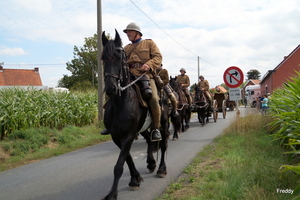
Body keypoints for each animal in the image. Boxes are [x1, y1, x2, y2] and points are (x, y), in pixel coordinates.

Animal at [102, 30, 170, 200]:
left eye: (119, 56)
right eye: (103, 58)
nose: (111, 88)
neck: (121, 102)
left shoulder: (129, 135)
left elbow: (119, 165)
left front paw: (112, 193)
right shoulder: (117, 136)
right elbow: (128, 159)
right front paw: (135, 178)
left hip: (164, 122)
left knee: (163, 143)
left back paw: (161, 168)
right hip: (144, 128)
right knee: (149, 140)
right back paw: (151, 163)